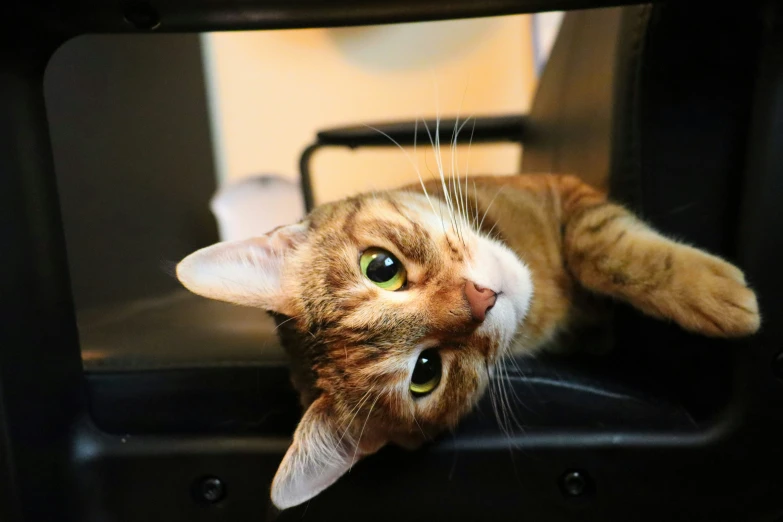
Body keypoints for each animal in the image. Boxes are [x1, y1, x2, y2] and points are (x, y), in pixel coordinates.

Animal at [176, 172, 760, 508]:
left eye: (381, 268)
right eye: (425, 373)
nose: (482, 299)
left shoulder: (560, 186)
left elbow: (602, 246)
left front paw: (715, 293)